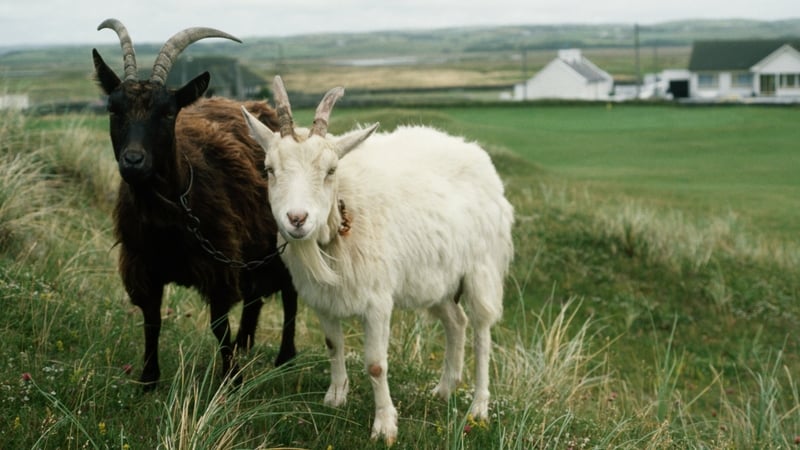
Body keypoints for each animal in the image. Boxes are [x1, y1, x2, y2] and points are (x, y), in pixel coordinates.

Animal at [92, 19, 297, 390]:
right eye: (113, 108)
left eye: (168, 112)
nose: (133, 161)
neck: (168, 215)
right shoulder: (142, 265)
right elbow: (152, 320)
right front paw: (148, 379)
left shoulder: (219, 267)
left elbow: (218, 326)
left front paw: (231, 379)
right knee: (255, 298)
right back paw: (246, 345)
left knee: (289, 294)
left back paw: (285, 357)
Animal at [241, 76, 514, 445]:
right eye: (268, 169)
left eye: (330, 170)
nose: (297, 219)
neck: (342, 214)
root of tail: (475, 153)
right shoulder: (323, 298)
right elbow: (333, 344)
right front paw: (335, 397)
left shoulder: (377, 301)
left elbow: (375, 363)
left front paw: (385, 426)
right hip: (436, 278)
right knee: (456, 321)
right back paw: (444, 389)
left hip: (481, 268)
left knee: (482, 332)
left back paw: (479, 407)